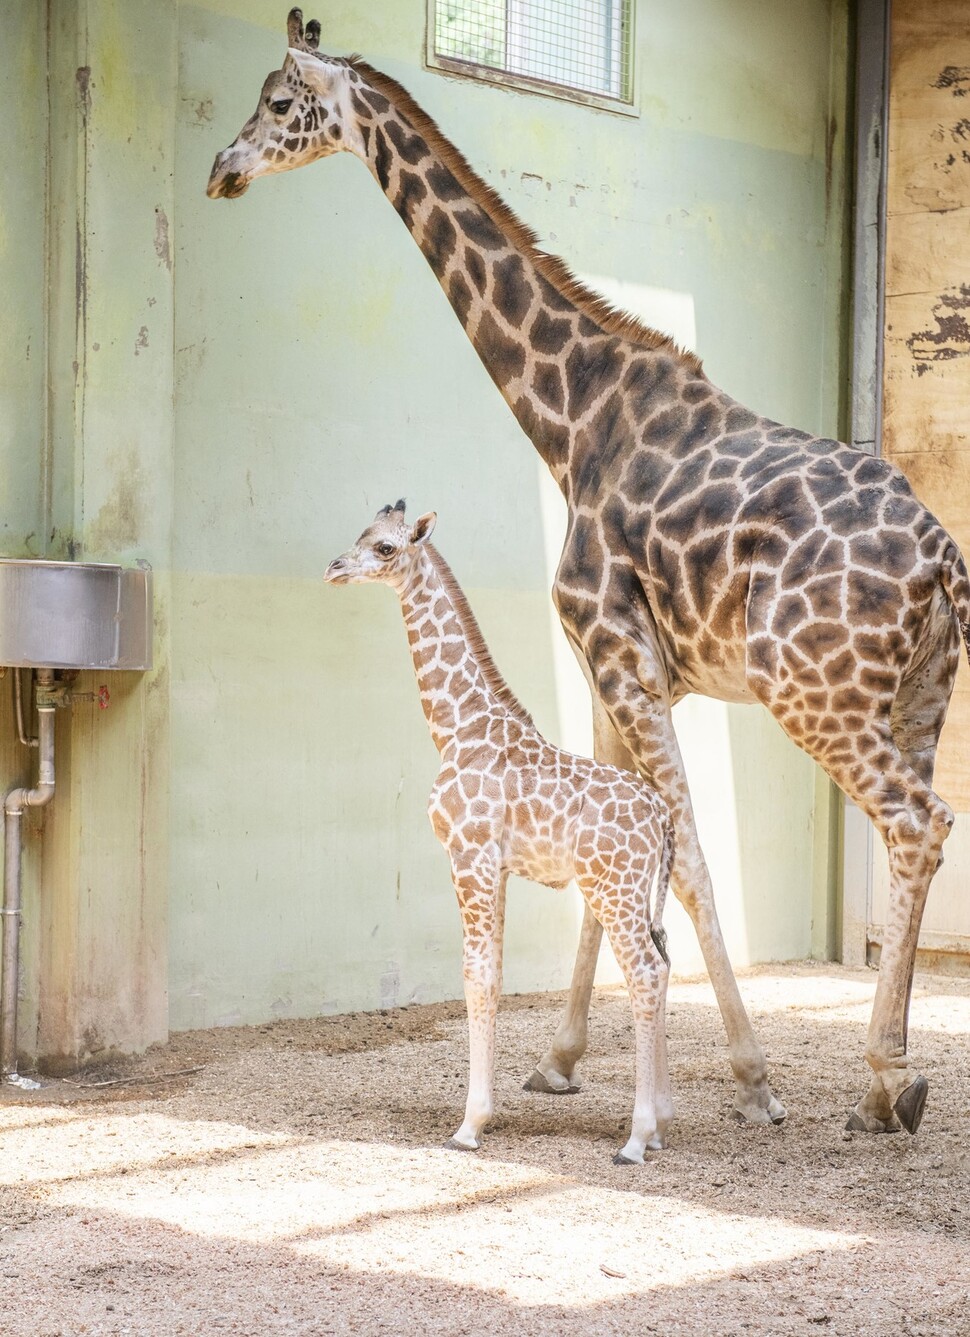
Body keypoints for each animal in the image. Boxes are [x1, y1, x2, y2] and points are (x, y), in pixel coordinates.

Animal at [327, 502, 676, 1160]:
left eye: (385, 547)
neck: (456, 726)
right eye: (358, 535)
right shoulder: (499, 866)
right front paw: (480, 1117)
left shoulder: (468, 855)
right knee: (664, 964)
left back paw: (637, 1137)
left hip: (612, 888)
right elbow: (494, 972)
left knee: (644, 971)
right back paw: (663, 1121)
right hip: (636, 892)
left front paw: (470, 1124)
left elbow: (476, 975)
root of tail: (661, 815)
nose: (334, 568)